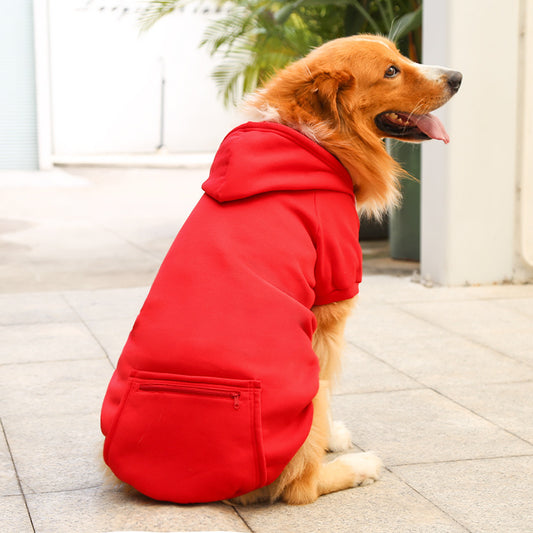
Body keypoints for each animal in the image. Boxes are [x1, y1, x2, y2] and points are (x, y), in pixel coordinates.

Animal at [102, 35, 460, 504]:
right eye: (390, 72)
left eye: (400, 55)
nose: (457, 77)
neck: (319, 140)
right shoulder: (330, 304)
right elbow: (326, 388)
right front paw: (330, 439)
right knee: (300, 486)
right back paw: (355, 466)